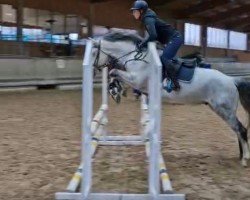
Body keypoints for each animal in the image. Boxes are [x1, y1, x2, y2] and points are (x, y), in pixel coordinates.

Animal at [91, 30, 250, 167]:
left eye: (93, 53)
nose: (92, 72)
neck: (135, 57)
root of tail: (232, 80)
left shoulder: (136, 80)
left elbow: (113, 71)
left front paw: (115, 91)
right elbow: (114, 74)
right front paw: (116, 91)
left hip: (224, 110)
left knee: (241, 129)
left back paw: (245, 159)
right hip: (220, 109)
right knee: (238, 130)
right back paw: (241, 156)